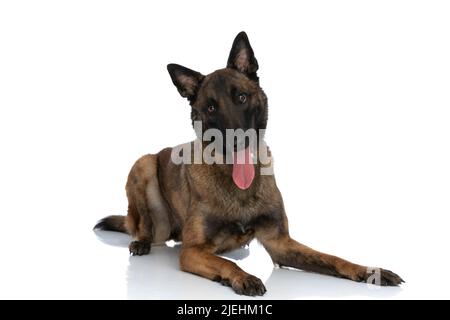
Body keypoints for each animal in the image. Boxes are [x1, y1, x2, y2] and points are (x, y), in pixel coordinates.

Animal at [93, 31, 402, 296]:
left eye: (241, 97)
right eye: (210, 108)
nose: (237, 140)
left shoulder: (281, 244)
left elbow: (331, 257)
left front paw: (369, 271)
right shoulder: (192, 251)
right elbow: (225, 263)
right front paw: (241, 277)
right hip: (143, 164)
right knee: (142, 226)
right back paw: (142, 241)